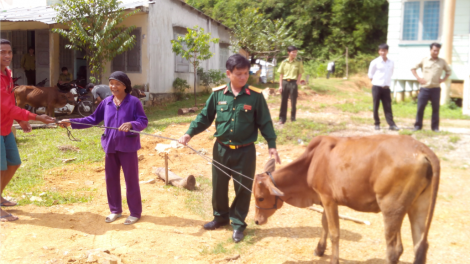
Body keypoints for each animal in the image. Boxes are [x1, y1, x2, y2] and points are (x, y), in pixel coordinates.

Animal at [253, 135, 440, 264]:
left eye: (260, 198)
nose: (256, 221)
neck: (311, 162)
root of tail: (422, 148)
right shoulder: (325, 199)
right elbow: (324, 223)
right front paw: (319, 249)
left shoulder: (328, 199)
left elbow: (335, 233)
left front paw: (333, 259)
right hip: (419, 206)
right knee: (420, 246)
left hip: (391, 208)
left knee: (394, 250)